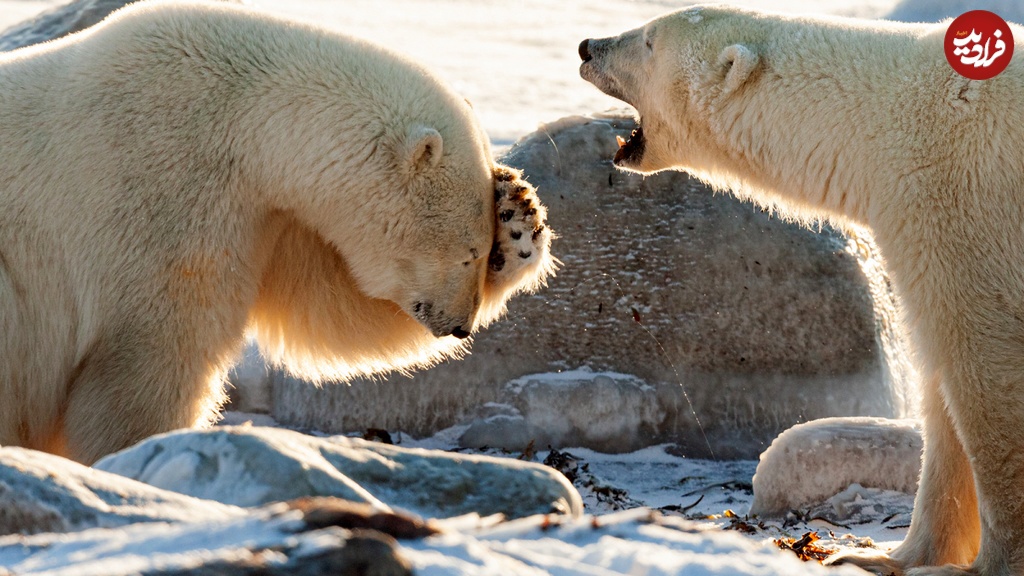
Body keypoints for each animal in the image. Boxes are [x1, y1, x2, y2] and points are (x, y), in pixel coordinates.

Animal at [0, 1, 557, 461]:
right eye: (467, 252)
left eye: (483, 251)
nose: (461, 325)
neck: (239, 119)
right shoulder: (161, 194)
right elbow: (152, 356)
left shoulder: (267, 215)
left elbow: (330, 306)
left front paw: (518, 215)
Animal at [585, 5, 1024, 573]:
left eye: (648, 41)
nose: (586, 47)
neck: (882, 121)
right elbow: (941, 388)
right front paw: (888, 557)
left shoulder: (963, 206)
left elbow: (987, 374)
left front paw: (997, 562)